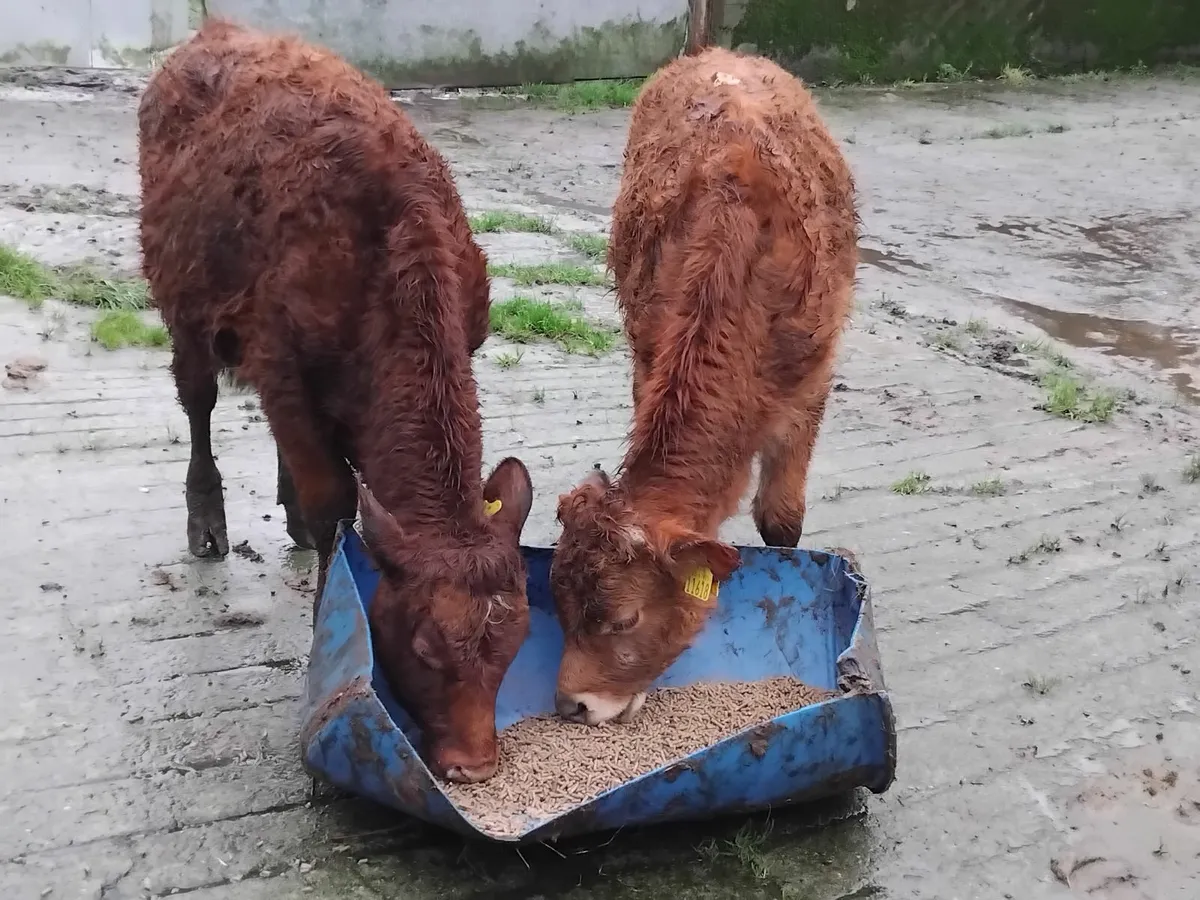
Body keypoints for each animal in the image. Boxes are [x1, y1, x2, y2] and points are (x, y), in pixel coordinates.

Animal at [138, 19, 532, 783]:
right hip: (184, 306)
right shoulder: (281, 365)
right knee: (198, 403)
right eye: (422, 650)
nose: (474, 769)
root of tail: (216, 30)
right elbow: (333, 507)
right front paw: (329, 629)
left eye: (516, 643)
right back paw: (207, 518)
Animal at [550, 47, 858, 726]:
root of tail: (720, 54)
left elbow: (781, 520)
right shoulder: (647, 357)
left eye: (624, 620)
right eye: (557, 605)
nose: (570, 705)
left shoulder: (810, 387)